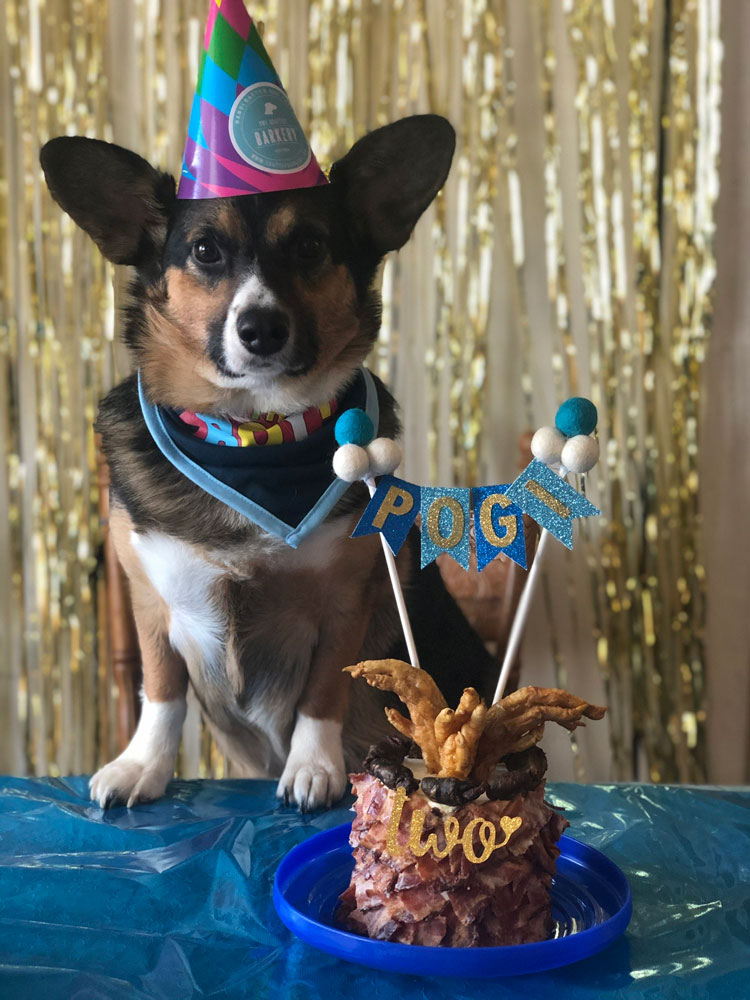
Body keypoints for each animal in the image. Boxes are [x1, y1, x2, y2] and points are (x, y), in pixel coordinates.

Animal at [41, 115, 500, 812]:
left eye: (309, 245)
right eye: (205, 251)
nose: (261, 329)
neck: (253, 434)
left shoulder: (346, 602)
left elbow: (322, 695)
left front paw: (314, 769)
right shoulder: (148, 599)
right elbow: (160, 692)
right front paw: (142, 766)